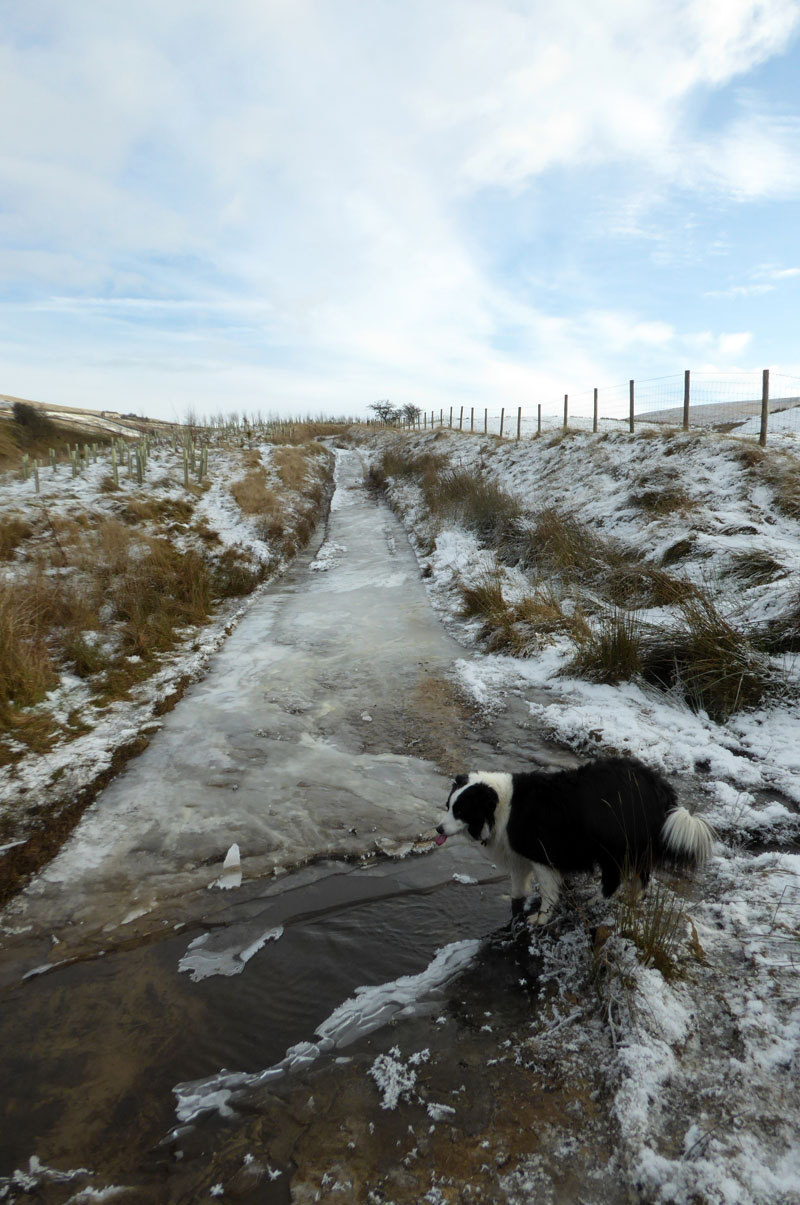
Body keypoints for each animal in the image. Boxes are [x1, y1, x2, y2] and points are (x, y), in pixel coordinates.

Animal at [433, 756, 713, 925]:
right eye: (448, 805)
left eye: (460, 810)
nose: (438, 828)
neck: (501, 806)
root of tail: (658, 787)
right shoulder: (519, 856)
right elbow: (517, 887)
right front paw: (516, 905)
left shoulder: (542, 854)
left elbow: (547, 891)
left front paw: (541, 918)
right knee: (642, 875)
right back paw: (633, 898)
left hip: (613, 843)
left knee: (614, 877)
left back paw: (597, 901)